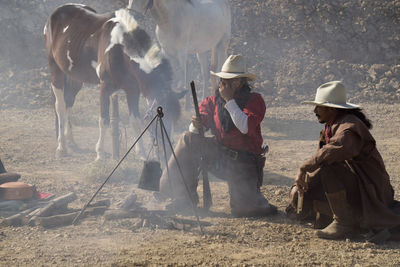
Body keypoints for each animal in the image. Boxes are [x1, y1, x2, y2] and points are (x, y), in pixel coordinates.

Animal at [44, 4, 183, 160]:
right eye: (160, 116)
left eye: (175, 120)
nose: (169, 152)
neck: (120, 46)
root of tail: (58, 10)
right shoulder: (105, 87)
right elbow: (104, 120)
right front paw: (100, 154)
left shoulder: (133, 89)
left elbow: (135, 122)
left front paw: (140, 153)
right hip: (56, 71)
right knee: (60, 107)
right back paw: (61, 146)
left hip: (75, 78)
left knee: (68, 102)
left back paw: (71, 141)